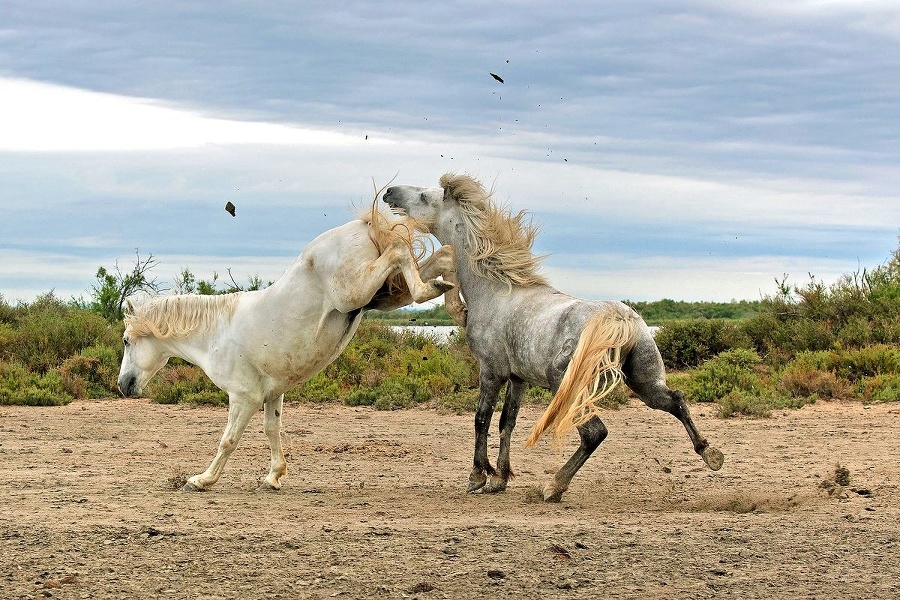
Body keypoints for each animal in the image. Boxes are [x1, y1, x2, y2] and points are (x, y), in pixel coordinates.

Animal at [118, 206, 464, 492]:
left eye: (125, 341)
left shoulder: (243, 397)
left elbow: (228, 440)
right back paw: (453, 301)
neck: (216, 332)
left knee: (399, 251)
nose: (123, 386)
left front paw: (201, 480)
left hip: (355, 291)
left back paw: (439, 296)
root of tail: (360, 225)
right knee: (443, 255)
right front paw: (273, 477)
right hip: (382, 294)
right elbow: (272, 430)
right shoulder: (273, 393)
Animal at [384, 173, 724, 502]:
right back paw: (711, 455)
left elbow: (482, 419)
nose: (389, 192)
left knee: (594, 432)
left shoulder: (491, 371)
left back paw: (554, 487)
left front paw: (478, 477)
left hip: (564, 383)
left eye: (424, 196)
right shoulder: (518, 378)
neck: (495, 291)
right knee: (675, 400)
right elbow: (506, 422)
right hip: (643, 382)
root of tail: (619, 321)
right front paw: (499, 480)